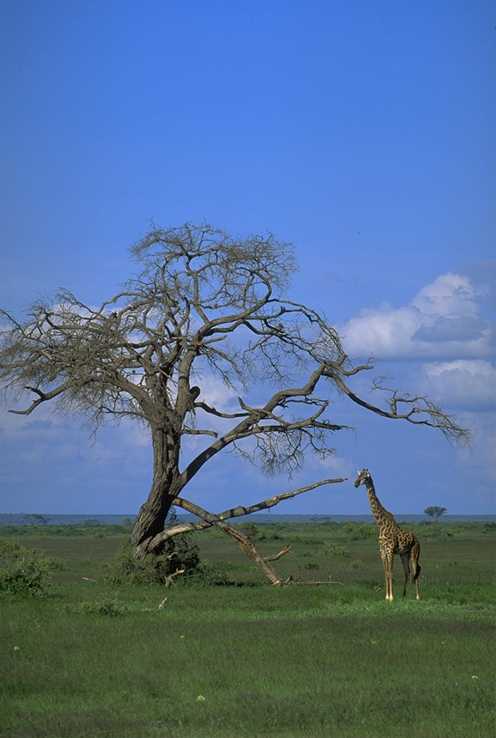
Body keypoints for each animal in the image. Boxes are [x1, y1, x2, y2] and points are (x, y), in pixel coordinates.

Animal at [354, 468, 421, 601]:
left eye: (365, 477)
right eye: (358, 476)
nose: (355, 483)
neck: (380, 525)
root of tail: (418, 540)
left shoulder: (390, 550)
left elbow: (390, 571)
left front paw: (391, 597)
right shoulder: (382, 551)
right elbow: (385, 572)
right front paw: (386, 596)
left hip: (414, 553)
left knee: (416, 570)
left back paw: (417, 596)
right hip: (404, 554)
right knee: (408, 571)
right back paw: (404, 595)